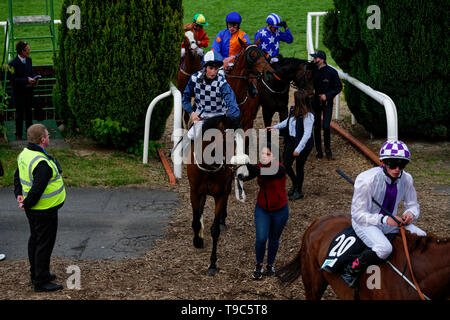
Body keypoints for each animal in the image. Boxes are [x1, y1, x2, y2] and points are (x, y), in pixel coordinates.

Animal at [187, 42, 272, 276]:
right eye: (252, 55)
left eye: (265, 53)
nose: (268, 72)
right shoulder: (195, 190)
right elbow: (196, 219)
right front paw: (198, 238)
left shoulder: (220, 192)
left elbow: (215, 227)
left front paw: (212, 263)